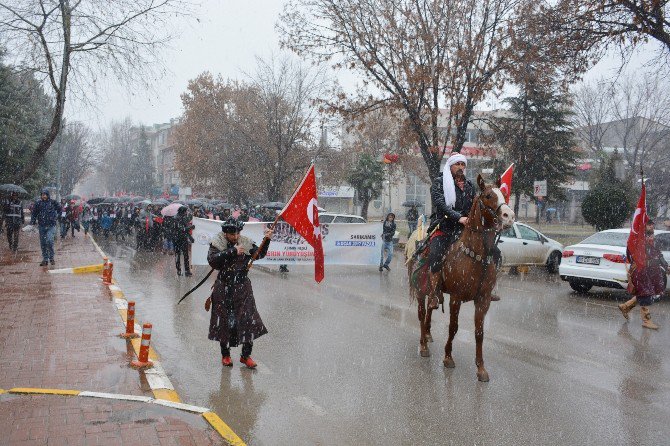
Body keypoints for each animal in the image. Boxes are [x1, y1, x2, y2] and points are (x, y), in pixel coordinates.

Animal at [406, 173, 516, 380]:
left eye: (503, 194)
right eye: (488, 195)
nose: (509, 216)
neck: (476, 255)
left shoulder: (483, 300)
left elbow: (479, 332)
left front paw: (481, 368)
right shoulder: (456, 298)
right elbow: (453, 327)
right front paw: (448, 357)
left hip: (434, 291)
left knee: (431, 309)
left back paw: (428, 335)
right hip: (420, 290)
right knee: (422, 314)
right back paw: (423, 345)